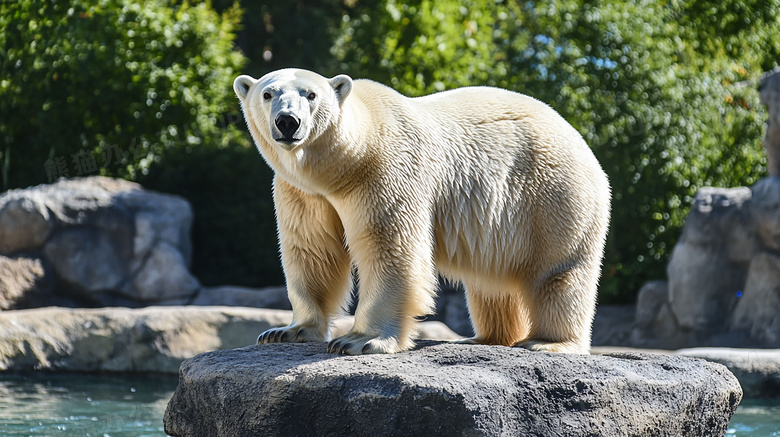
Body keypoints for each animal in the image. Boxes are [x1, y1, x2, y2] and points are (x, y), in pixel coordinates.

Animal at [235, 69, 612, 354]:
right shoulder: (303, 193)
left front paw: (359, 340)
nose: (288, 122)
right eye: (268, 94)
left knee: (559, 271)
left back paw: (546, 342)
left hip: (551, 195)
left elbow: (389, 248)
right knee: (492, 281)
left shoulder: (385, 171)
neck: (347, 161)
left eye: (311, 94)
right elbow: (312, 250)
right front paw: (286, 331)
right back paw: (483, 337)